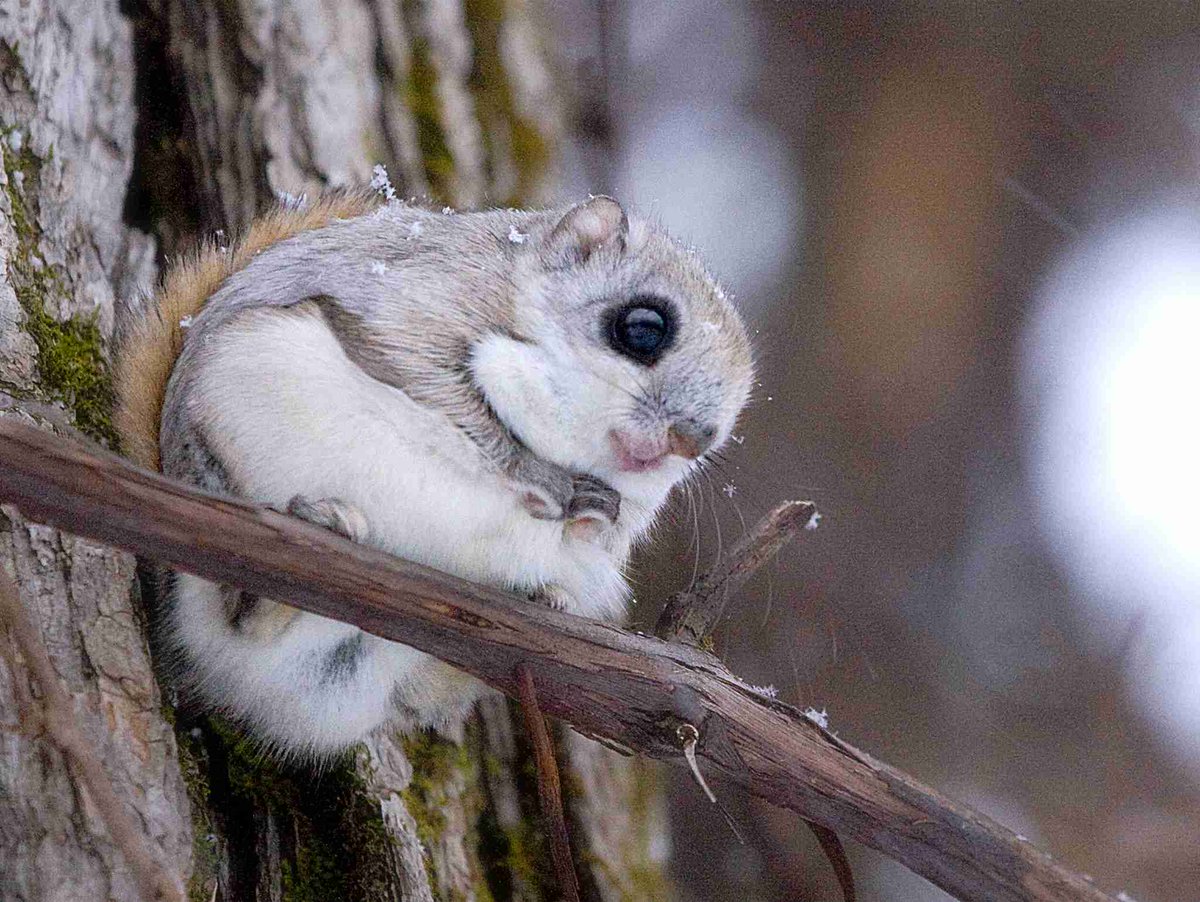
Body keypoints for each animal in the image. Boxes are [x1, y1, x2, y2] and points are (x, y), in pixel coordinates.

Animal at [114, 186, 753, 758]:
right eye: (643, 327)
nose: (694, 440)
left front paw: (594, 515)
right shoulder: (416, 309)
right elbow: (446, 395)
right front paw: (543, 479)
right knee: (237, 614)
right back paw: (310, 533)